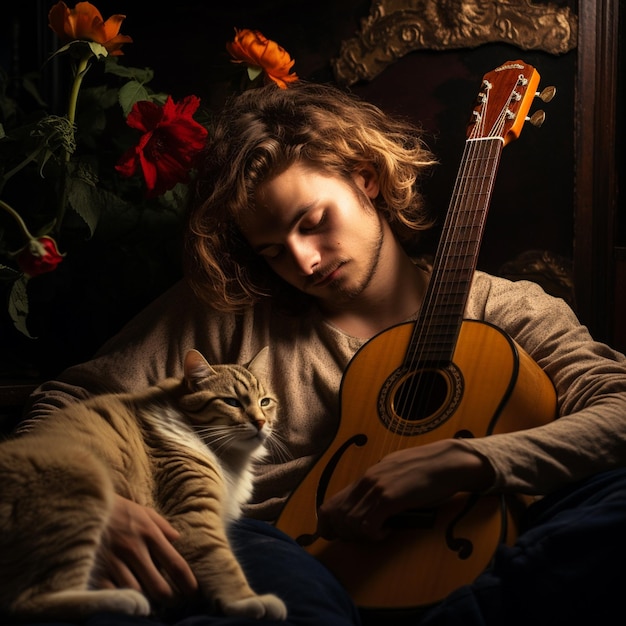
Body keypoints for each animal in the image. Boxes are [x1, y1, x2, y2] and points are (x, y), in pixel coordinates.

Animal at [0, 346, 286, 620]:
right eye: (231, 402)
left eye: (265, 402)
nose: (261, 422)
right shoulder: (192, 515)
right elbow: (220, 561)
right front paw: (246, 600)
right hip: (83, 475)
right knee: (29, 602)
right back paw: (125, 599)